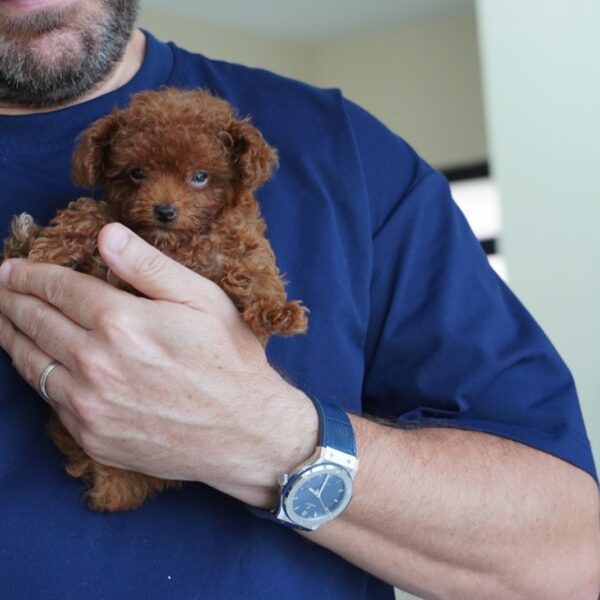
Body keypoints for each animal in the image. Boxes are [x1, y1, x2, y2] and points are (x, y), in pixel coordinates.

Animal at [2, 88, 308, 510]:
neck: (171, 242)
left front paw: (277, 312)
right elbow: (93, 211)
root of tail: (118, 481)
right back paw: (23, 238)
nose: (163, 211)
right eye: (136, 173)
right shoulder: (117, 227)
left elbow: (258, 274)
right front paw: (54, 244)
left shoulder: (239, 249)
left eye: (200, 176)